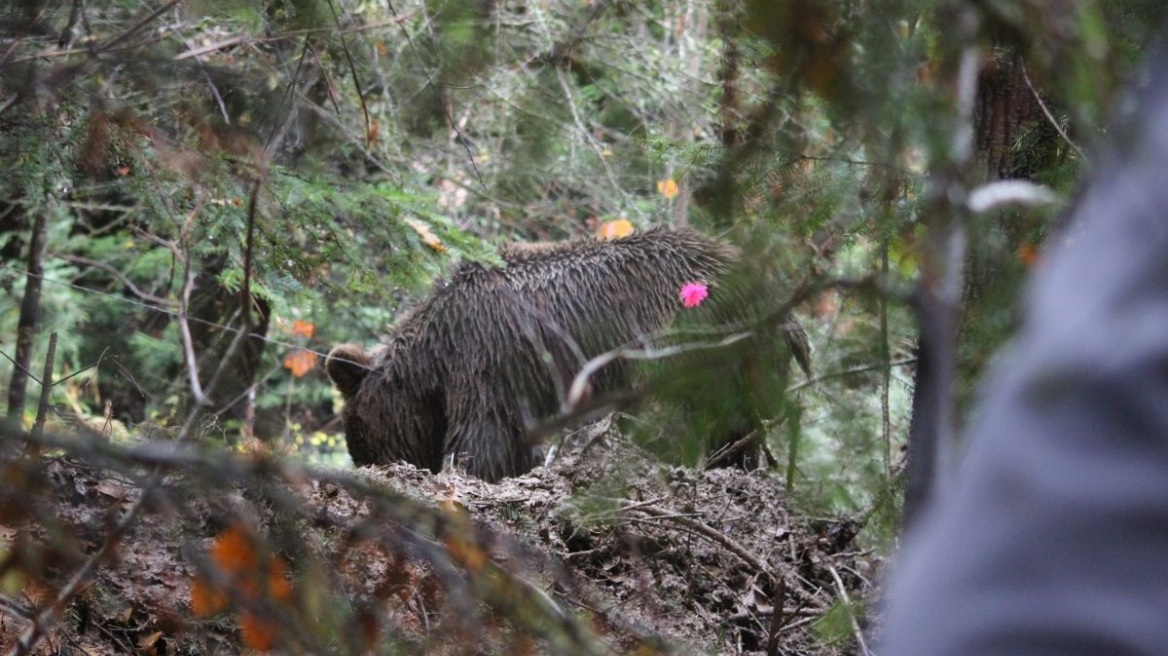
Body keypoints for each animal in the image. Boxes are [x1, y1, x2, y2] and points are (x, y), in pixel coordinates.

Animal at [324, 224, 803, 480]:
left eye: (358, 436)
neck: (435, 357)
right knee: (736, 426)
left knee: (671, 416)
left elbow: (483, 438)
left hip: (683, 338)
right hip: (745, 362)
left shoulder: (484, 360)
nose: (366, 465)